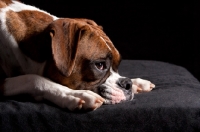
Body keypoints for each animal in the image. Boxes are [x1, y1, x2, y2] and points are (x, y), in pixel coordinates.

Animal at [0, 0, 155, 111]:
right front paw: (74, 95)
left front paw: (137, 82)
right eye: (100, 65)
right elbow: (33, 79)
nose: (127, 84)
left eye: (118, 64)